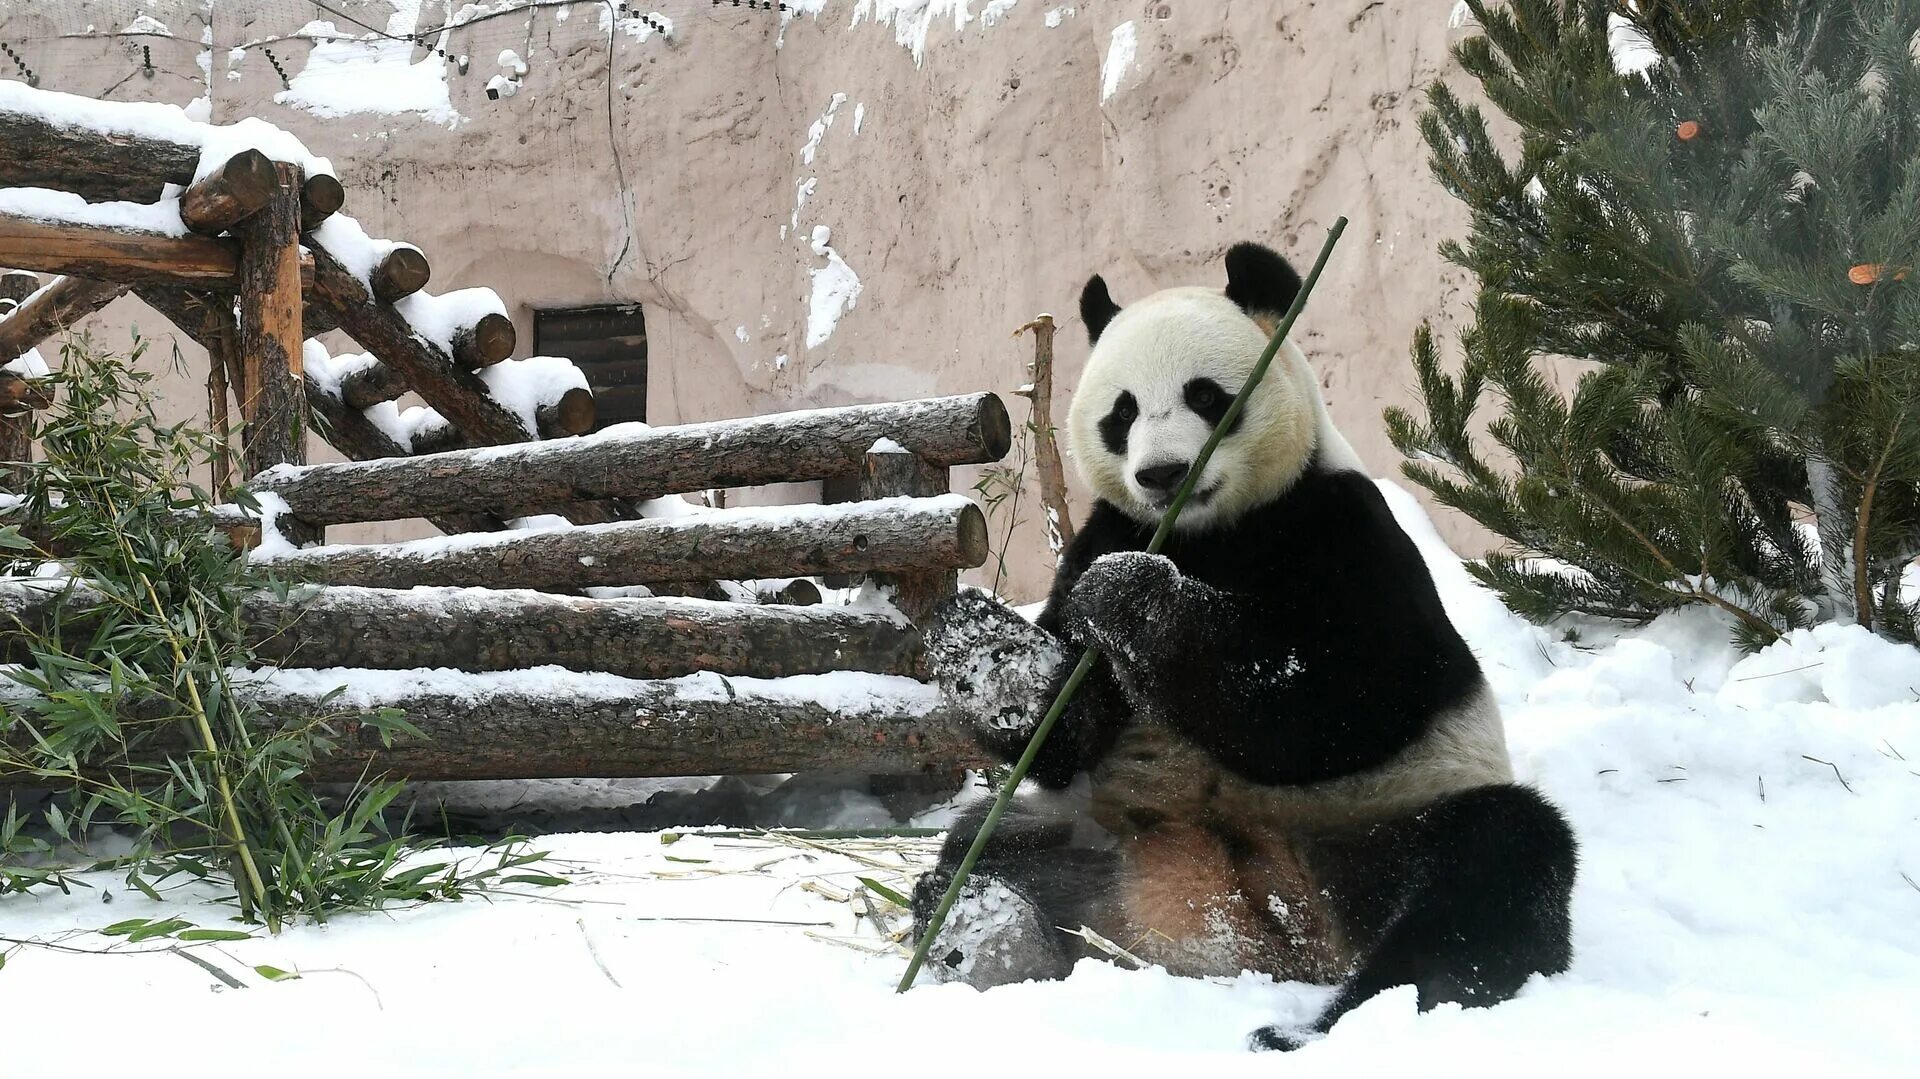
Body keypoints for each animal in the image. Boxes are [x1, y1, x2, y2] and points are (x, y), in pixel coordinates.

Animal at [910, 239, 1574, 1044]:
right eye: (1122, 413)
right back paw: (982, 928)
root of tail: (1241, 927)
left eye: (1205, 396)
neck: (1207, 534)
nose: (1163, 473)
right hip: (1095, 831)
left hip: (1375, 828)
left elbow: (1341, 699)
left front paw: (1135, 598)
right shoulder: (1107, 529)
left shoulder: (1341, 524)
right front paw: (990, 654)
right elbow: (1067, 734)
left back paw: (1317, 1028)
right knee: (985, 843)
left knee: (1492, 868)